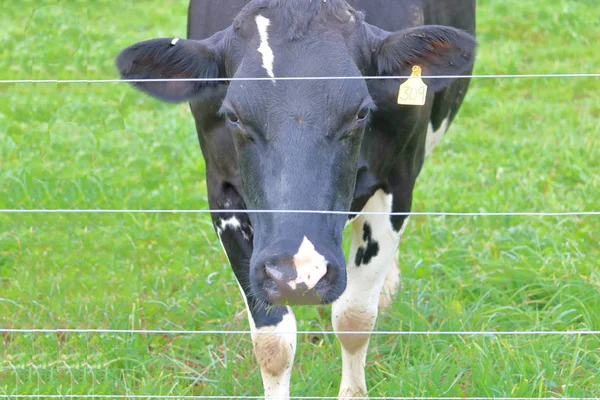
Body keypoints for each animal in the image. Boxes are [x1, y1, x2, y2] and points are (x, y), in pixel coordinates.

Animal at [115, 0, 476, 396]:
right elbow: (273, 342)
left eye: (360, 112)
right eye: (233, 115)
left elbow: (353, 319)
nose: (298, 275)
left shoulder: (398, 178)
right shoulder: (222, 191)